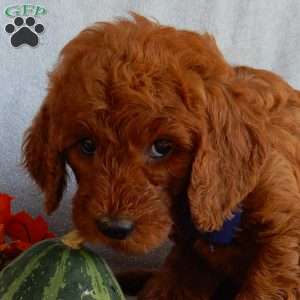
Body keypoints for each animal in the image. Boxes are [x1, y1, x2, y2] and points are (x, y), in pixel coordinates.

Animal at [22, 14, 300, 300]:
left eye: (162, 147)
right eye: (87, 145)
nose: (113, 228)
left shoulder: (283, 244)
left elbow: (262, 289)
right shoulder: (191, 254)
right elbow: (171, 286)